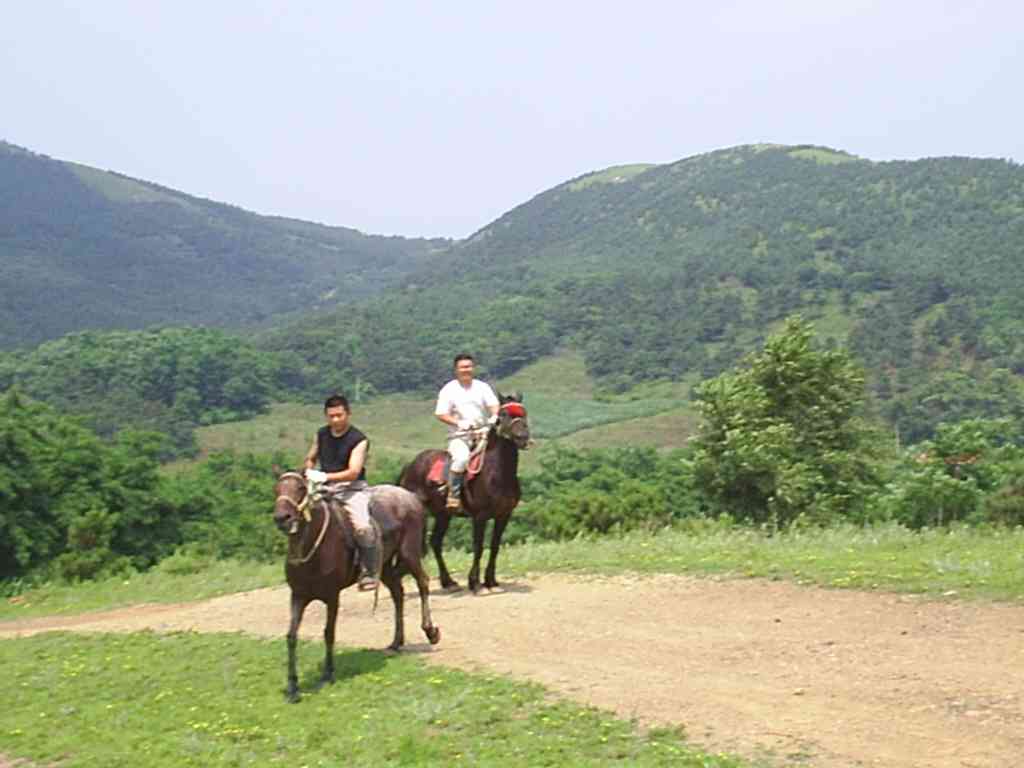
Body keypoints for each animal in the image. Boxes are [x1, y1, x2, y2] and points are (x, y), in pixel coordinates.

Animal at [272, 468, 440, 704]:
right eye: (277, 489)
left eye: (301, 488)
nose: (282, 518)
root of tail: (411, 497)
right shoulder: (298, 596)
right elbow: (291, 637)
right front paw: (293, 688)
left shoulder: (332, 596)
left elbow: (329, 633)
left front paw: (327, 675)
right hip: (384, 567)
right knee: (398, 594)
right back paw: (396, 642)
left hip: (410, 554)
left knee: (423, 583)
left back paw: (430, 631)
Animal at [397, 393, 532, 593]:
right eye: (504, 414)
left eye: (523, 413)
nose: (523, 437)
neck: (497, 473)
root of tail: (410, 466)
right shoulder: (480, 517)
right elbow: (478, 547)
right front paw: (474, 582)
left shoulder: (504, 515)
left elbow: (495, 546)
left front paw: (490, 580)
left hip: (443, 514)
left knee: (436, 542)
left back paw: (448, 581)